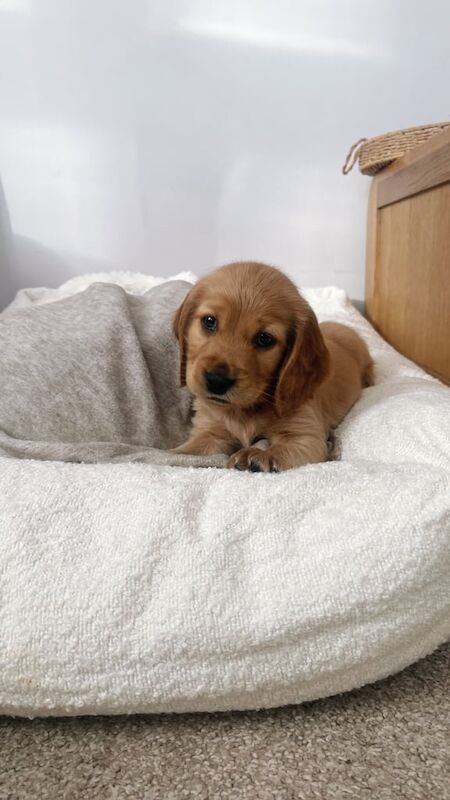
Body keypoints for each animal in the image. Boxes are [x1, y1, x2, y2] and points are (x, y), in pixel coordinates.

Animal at [173, 262, 373, 472]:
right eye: (209, 321)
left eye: (264, 339)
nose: (217, 381)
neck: (244, 410)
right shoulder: (210, 430)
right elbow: (187, 452)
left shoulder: (305, 434)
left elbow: (284, 449)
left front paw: (259, 455)